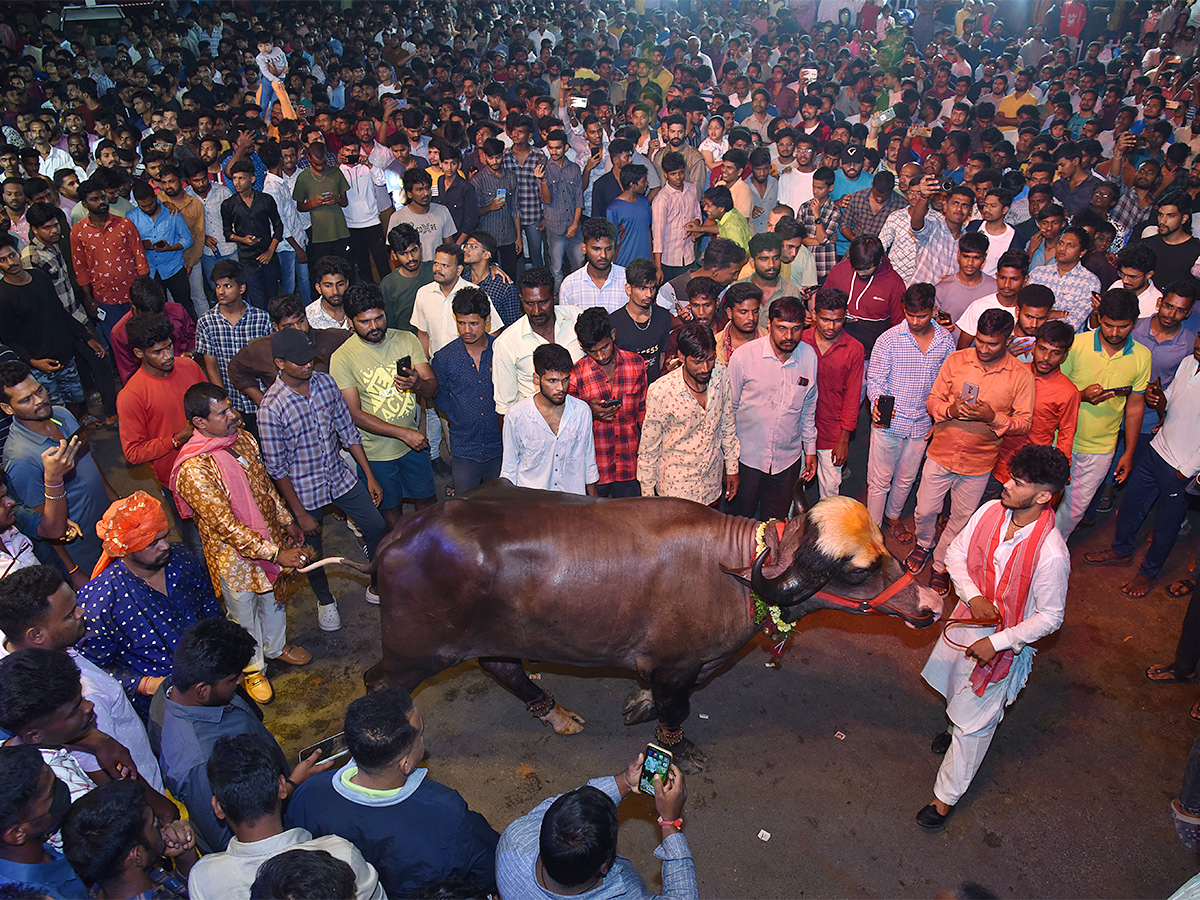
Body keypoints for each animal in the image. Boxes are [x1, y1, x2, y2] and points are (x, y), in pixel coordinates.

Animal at [360, 482, 940, 772]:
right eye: (859, 571)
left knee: (503, 667)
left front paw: (639, 704)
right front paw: (676, 742)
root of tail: (398, 535)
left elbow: (660, 700)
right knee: (377, 680)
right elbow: (676, 711)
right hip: (415, 653)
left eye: (886, 548)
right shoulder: (676, 665)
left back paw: (556, 714)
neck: (734, 574)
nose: (932, 604)